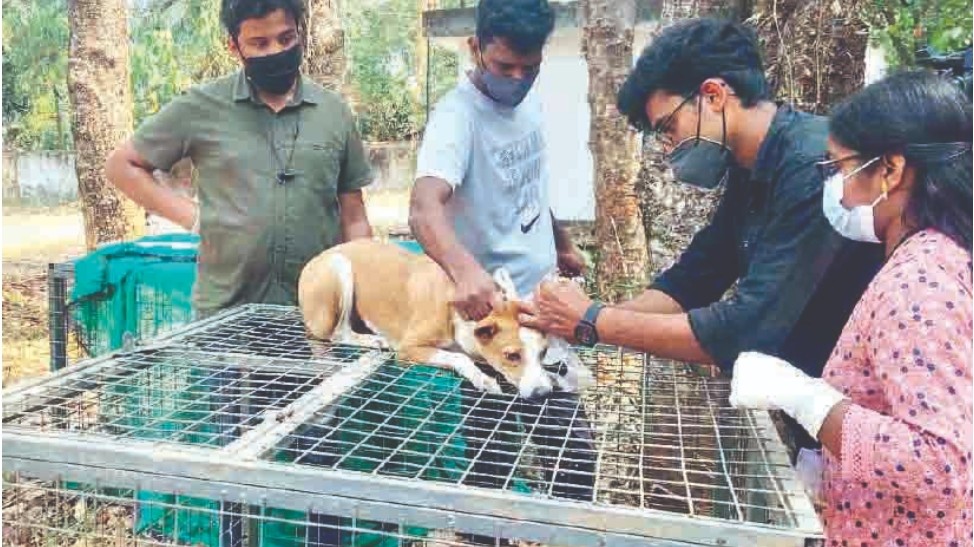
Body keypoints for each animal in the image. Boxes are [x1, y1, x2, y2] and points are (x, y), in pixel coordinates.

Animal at [298, 240, 592, 399]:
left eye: (542, 353)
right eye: (512, 356)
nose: (543, 394)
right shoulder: (408, 349)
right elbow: (459, 358)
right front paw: (483, 379)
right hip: (339, 268)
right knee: (335, 333)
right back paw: (371, 340)